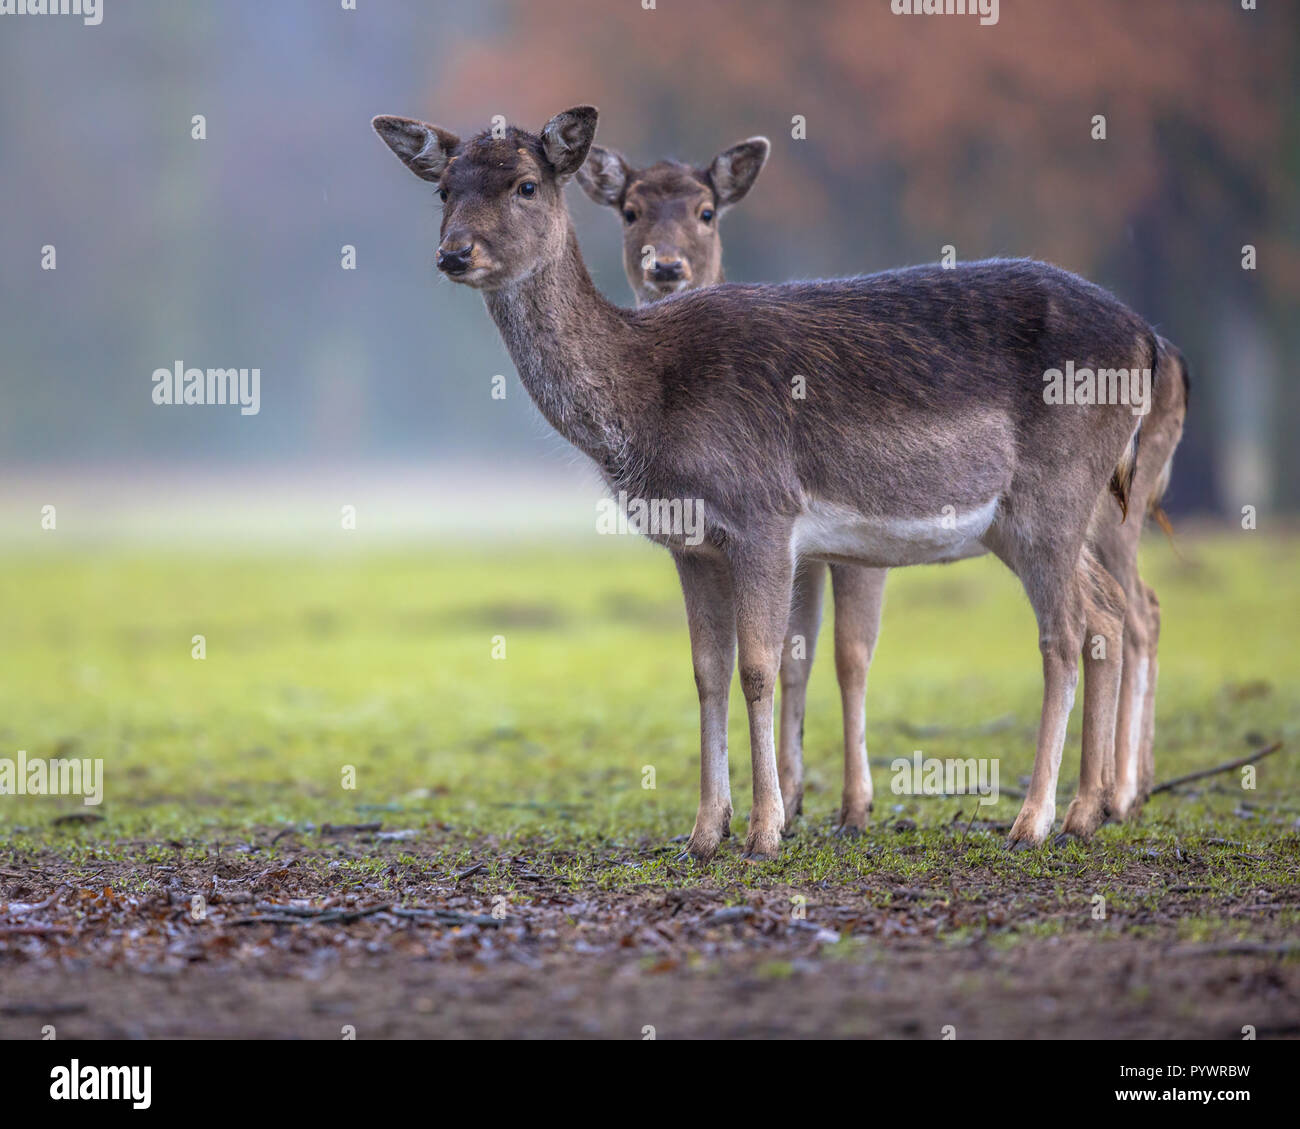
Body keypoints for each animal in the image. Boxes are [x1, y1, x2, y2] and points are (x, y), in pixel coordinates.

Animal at [371, 107, 1185, 863]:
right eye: (443, 187)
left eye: (527, 184)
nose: (454, 252)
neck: (647, 397)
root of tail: (1149, 341)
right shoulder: (691, 543)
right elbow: (707, 670)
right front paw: (704, 832)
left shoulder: (764, 512)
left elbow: (761, 665)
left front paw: (765, 830)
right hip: (1042, 516)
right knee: (1110, 614)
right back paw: (1087, 812)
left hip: (1057, 494)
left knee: (1069, 629)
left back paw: (1035, 820)